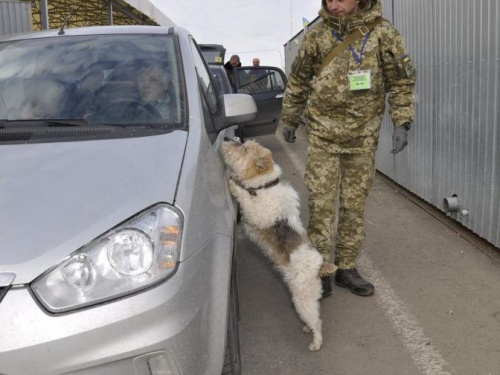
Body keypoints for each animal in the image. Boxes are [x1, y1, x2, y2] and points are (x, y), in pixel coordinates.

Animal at [222, 139, 336, 352]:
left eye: (245, 149)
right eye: (243, 143)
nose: (226, 140)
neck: (265, 186)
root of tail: (320, 266)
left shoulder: (258, 213)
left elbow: (244, 196)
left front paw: (232, 182)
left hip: (302, 298)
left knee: (317, 322)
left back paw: (316, 342)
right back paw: (307, 328)